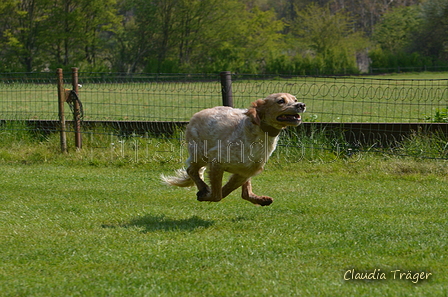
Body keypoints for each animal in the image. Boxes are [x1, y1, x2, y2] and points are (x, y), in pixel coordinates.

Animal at [161, 93, 304, 205]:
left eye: (295, 99)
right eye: (281, 101)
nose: (301, 105)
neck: (259, 133)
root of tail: (196, 114)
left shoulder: (245, 172)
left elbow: (226, 191)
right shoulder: (217, 162)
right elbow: (217, 195)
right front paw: (205, 194)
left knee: (245, 193)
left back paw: (261, 199)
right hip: (200, 154)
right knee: (191, 170)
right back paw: (203, 187)